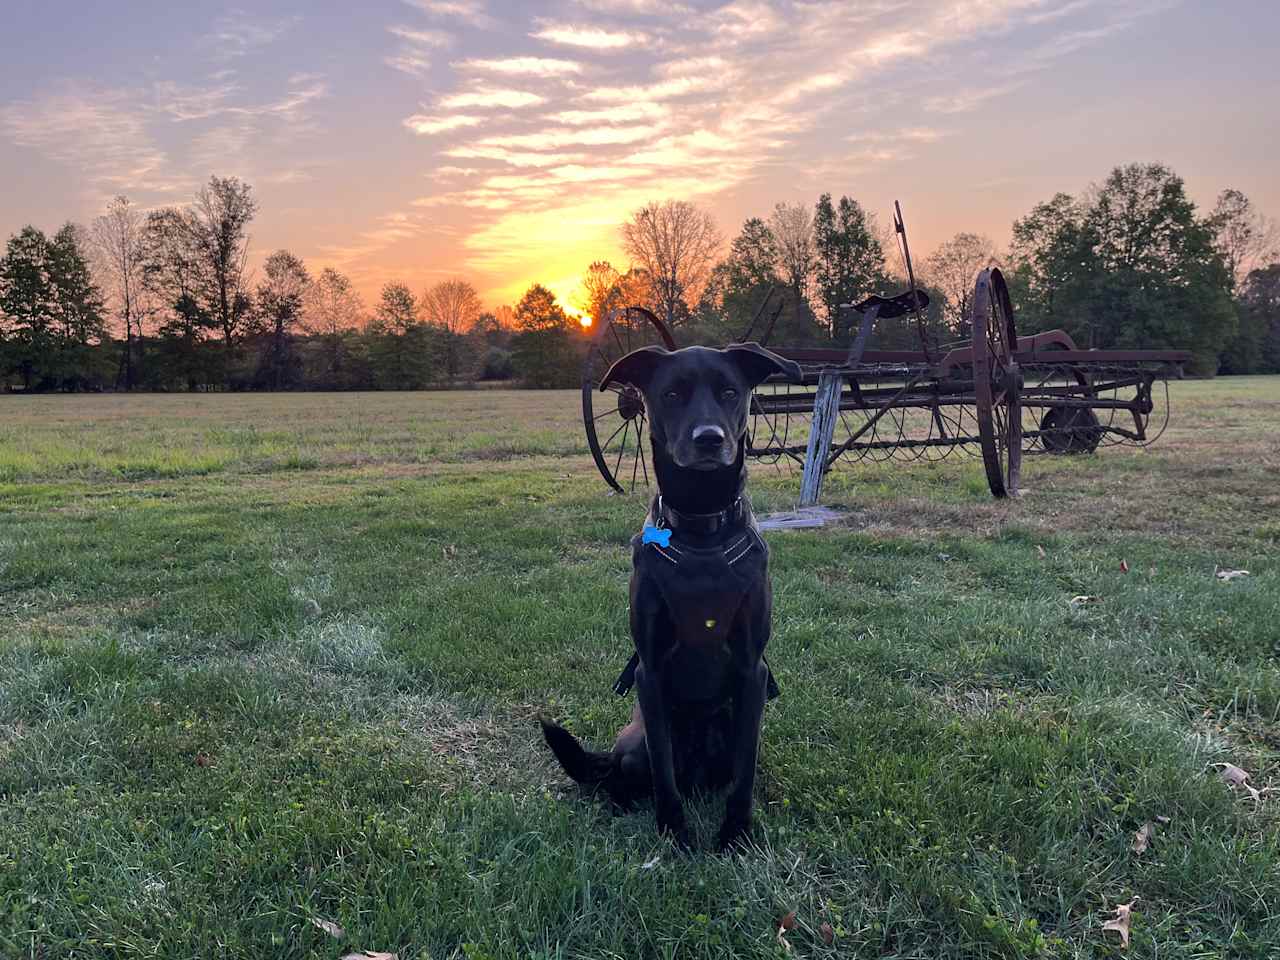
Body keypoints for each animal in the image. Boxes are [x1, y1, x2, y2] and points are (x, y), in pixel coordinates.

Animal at [540, 343, 798, 855]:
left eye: (730, 392)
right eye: (672, 394)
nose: (709, 439)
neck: (701, 527)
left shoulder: (752, 672)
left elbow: (746, 770)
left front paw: (735, 833)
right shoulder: (651, 672)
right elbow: (663, 771)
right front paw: (673, 834)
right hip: (633, 743)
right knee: (623, 776)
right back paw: (619, 804)